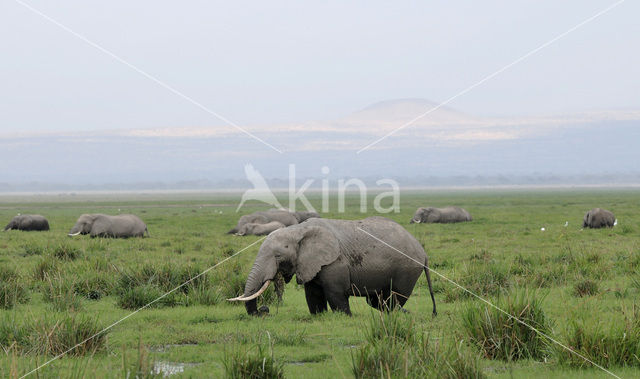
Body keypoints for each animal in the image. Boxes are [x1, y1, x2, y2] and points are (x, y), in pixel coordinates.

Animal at [228, 217, 438, 318]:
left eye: (278, 256)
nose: (264, 310)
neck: (298, 230)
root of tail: (423, 251)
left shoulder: (335, 262)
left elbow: (335, 293)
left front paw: (347, 318)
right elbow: (313, 294)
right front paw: (320, 316)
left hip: (406, 269)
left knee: (393, 298)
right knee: (378, 300)